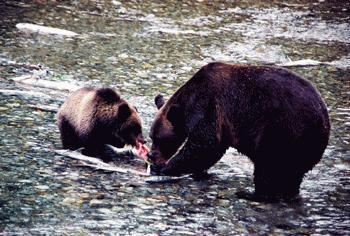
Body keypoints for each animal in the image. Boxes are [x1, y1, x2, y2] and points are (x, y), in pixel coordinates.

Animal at [148, 61, 330, 202]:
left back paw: (251, 194)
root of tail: (323, 119)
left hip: (282, 131)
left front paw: (164, 168)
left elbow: (206, 145)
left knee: (268, 168)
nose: (151, 155)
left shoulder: (210, 107)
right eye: (151, 136)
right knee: (290, 176)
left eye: (160, 139)